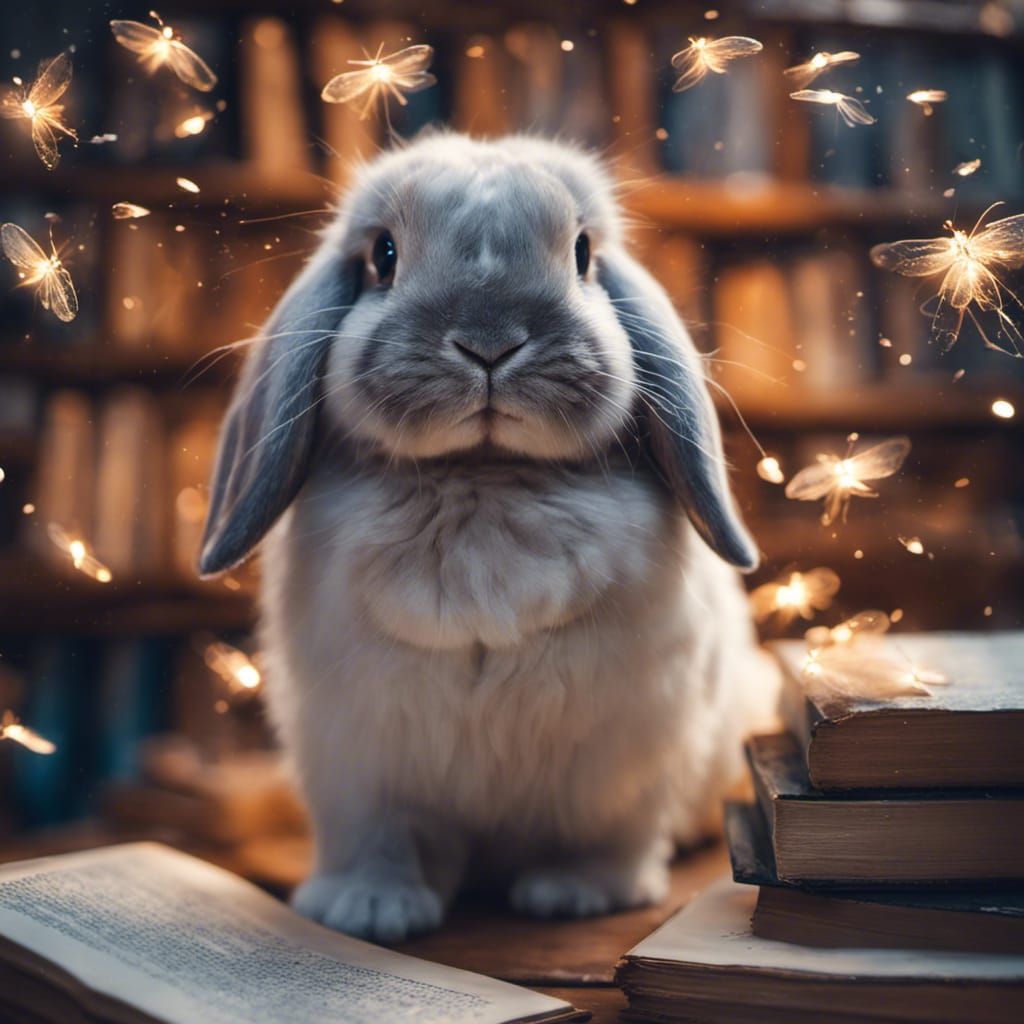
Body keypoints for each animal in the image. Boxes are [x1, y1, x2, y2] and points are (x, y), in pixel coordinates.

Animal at [199, 132, 774, 943]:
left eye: (583, 254)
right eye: (382, 255)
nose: (490, 342)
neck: (482, 481)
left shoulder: (619, 764)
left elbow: (602, 838)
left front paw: (576, 895)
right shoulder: (360, 766)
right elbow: (380, 842)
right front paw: (370, 911)